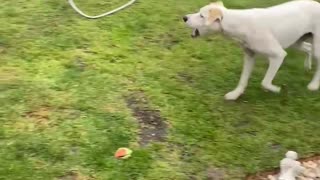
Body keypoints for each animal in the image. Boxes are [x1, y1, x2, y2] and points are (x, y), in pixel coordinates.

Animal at [182, 0, 318, 100]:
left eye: (201, 16)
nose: (184, 17)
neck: (240, 24)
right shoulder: (249, 56)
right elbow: (243, 79)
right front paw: (235, 94)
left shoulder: (278, 55)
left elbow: (265, 82)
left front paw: (276, 89)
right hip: (295, 42)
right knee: (308, 48)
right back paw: (307, 65)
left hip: (315, 46)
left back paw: (314, 85)